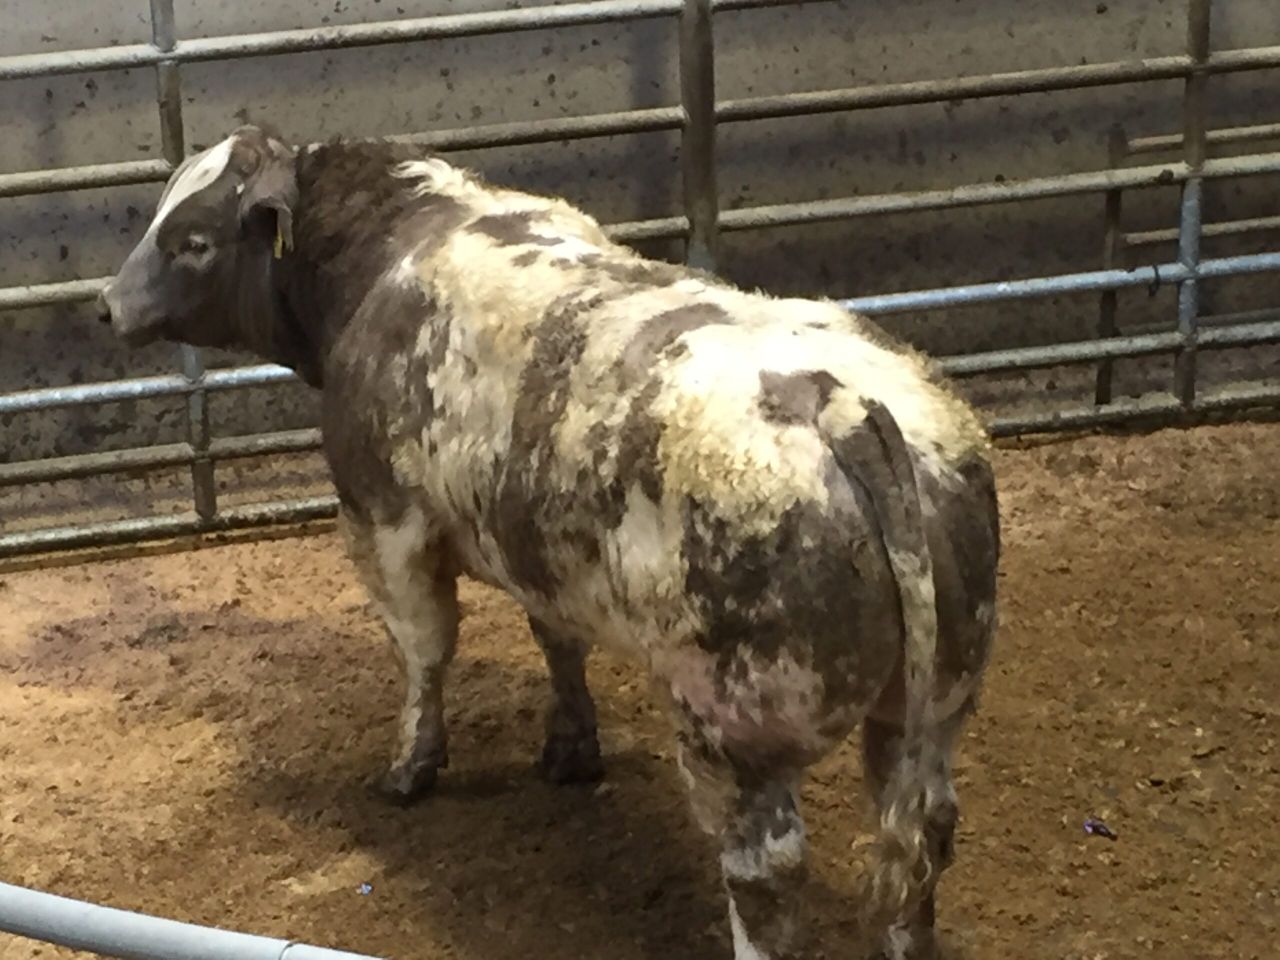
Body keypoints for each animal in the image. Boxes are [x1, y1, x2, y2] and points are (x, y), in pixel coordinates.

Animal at [97, 124, 999, 960]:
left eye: (193, 240)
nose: (106, 305)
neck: (389, 250)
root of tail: (839, 404)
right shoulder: (541, 556)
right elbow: (556, 640)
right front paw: (570, 747)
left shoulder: (385, 520)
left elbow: (425, 650)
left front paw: (410, 768)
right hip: (934, 704)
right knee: (924, 834)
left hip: (739, 733)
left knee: (767, 875)